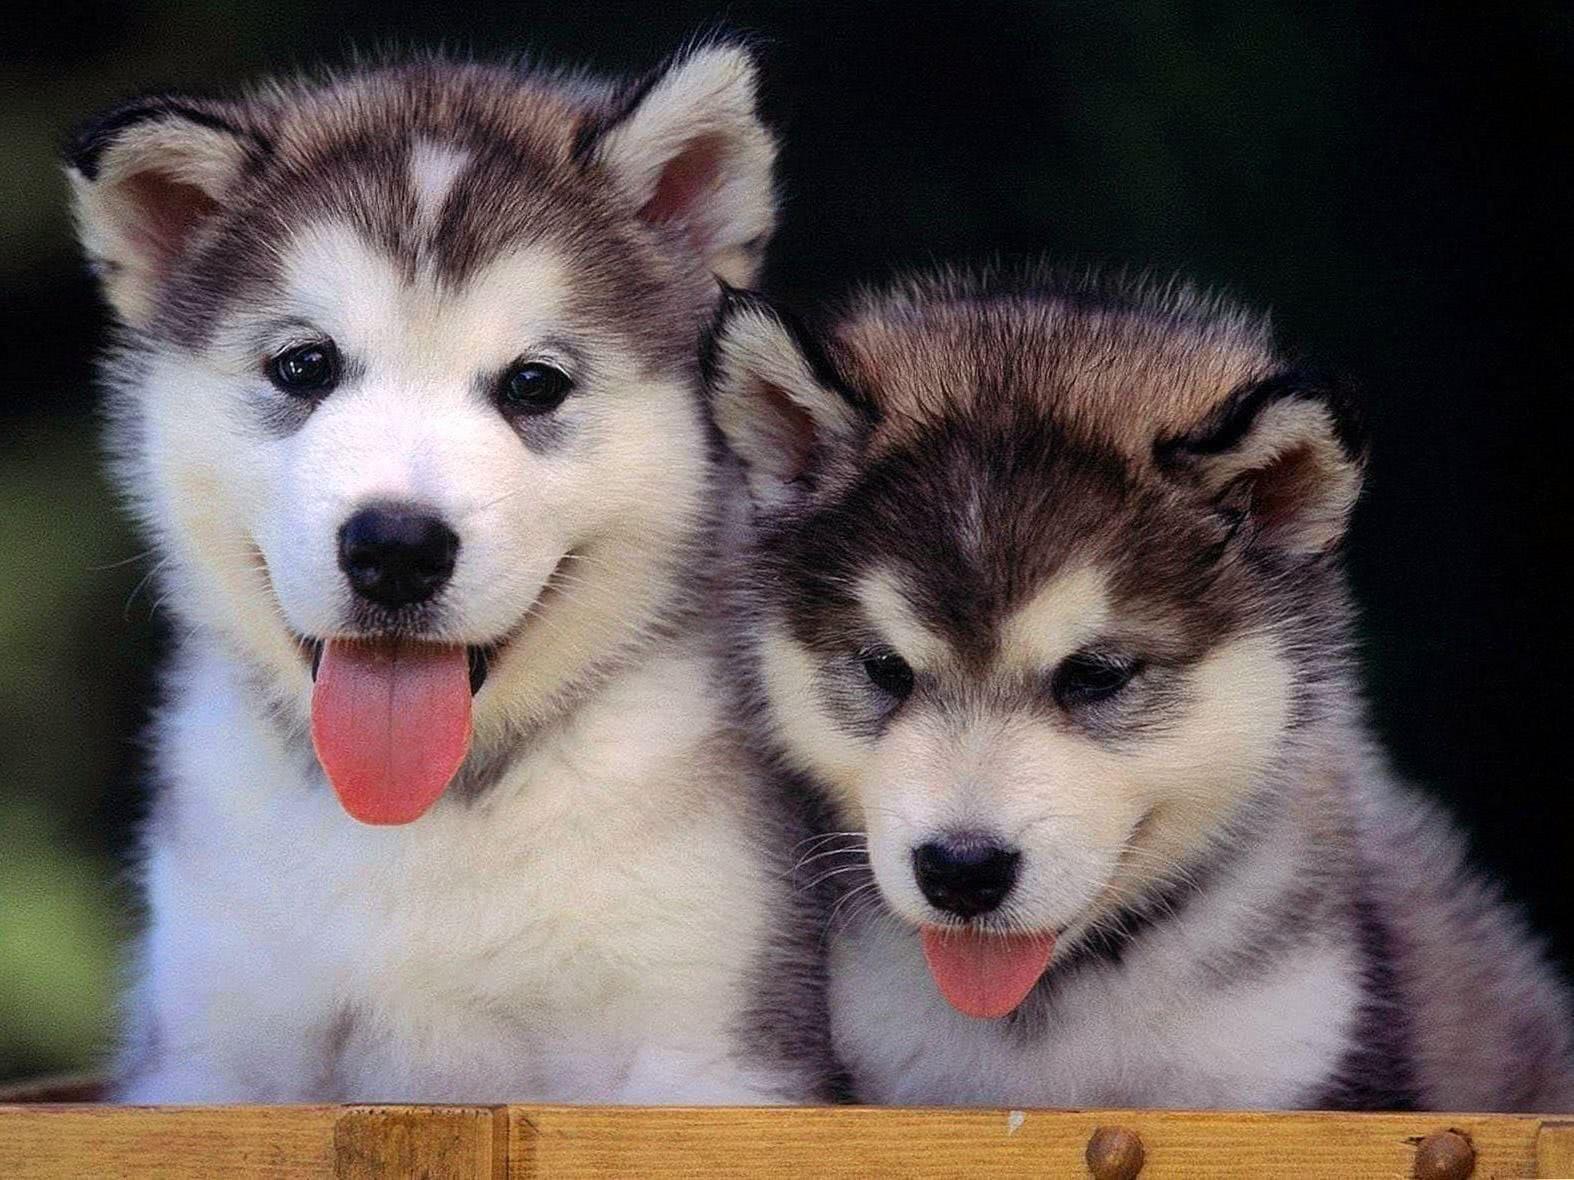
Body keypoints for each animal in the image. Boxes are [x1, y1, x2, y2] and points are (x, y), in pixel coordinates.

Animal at [65, 42, 836, 1103]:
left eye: (535, 383)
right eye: (304, 366)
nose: (396, 548)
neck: (421, 822)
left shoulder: (708, 1046)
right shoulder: (209, 1052)